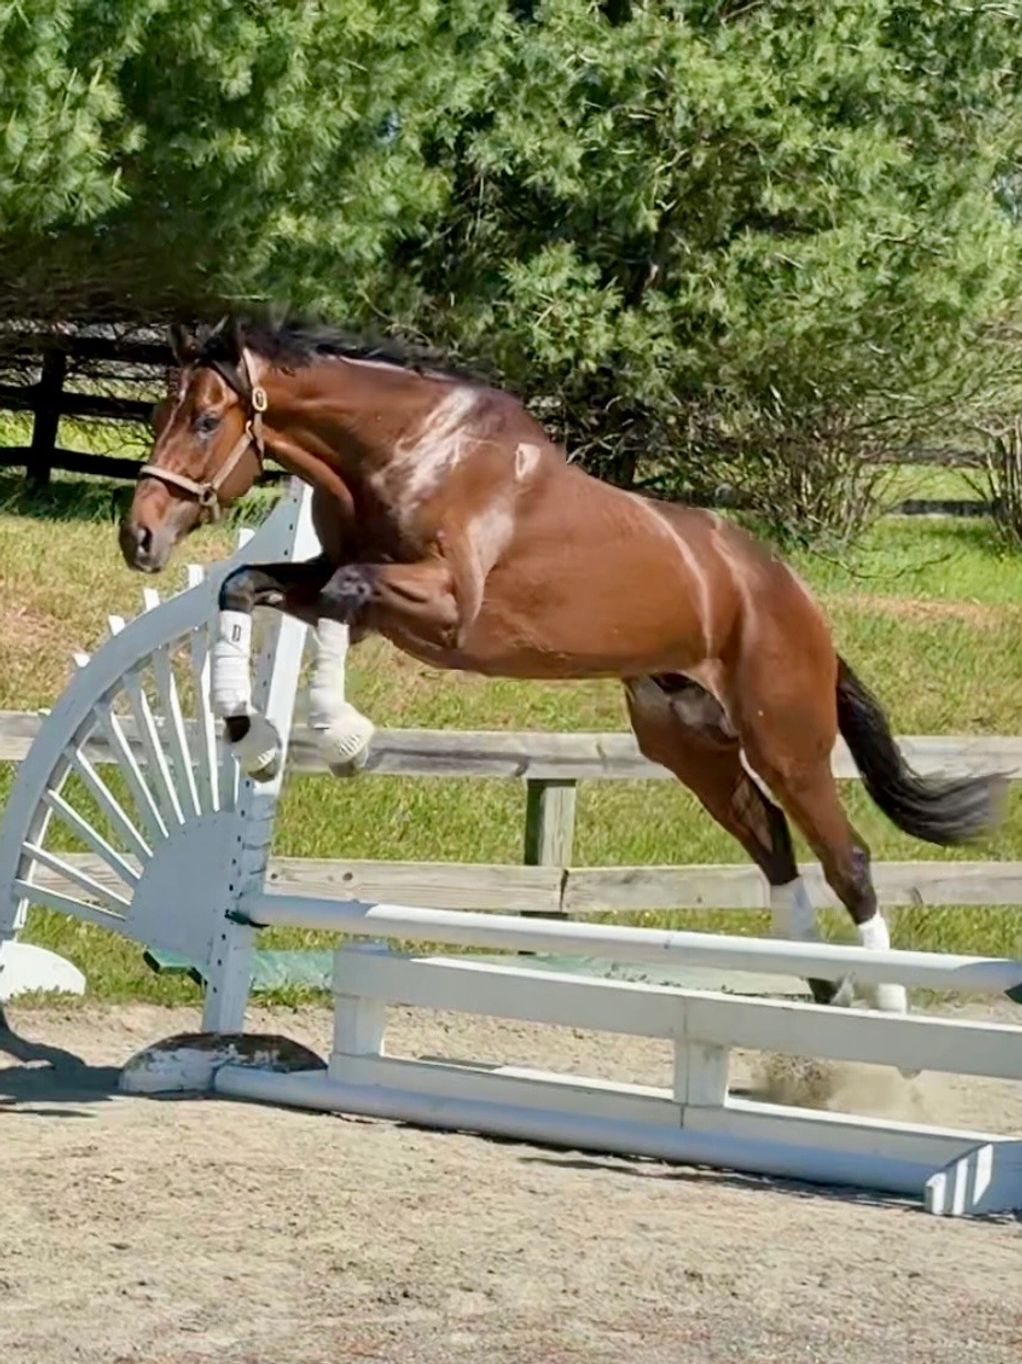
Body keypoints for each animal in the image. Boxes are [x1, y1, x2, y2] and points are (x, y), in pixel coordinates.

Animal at [120, 317, 1005, 1015]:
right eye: (162, 412)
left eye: (206, 420)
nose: (141, 538)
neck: (412, 451)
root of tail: (796, 599)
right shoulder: (339, 586)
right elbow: (247, 583)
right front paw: (247, 732)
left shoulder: (445, 609)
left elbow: (343, 591)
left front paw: (342, 736)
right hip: (686, 738)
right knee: (772, 841)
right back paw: (820, 984)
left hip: (785, 737)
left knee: (845, 857)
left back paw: (883, 1012)